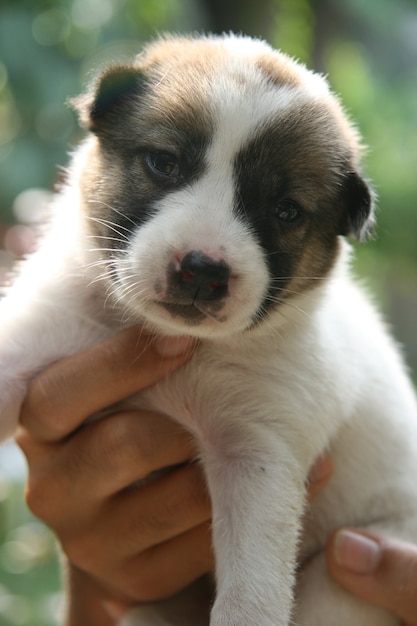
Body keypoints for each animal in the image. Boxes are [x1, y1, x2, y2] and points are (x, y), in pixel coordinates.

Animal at [0, 34, 416, 624]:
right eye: (164, 163)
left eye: (286, 211)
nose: (203, 269)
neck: (182, 342)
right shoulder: (32, 336)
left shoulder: (257, 454)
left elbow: (251, 592)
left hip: (349, 573)